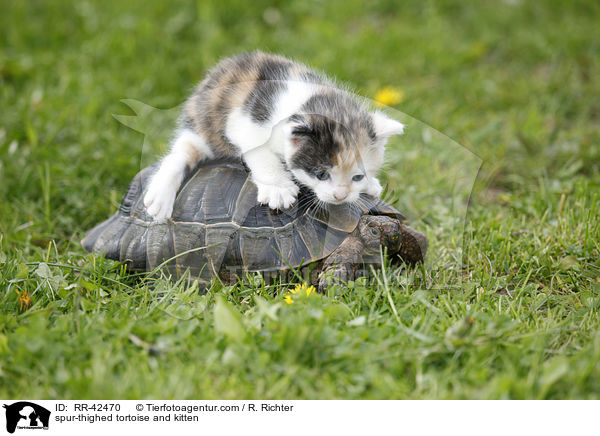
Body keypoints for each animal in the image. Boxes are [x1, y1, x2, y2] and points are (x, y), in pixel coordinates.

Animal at [143, 50, 406, 220]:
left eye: (357, 176)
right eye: (321, 175)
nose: (340, 197)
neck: (313, 100)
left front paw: (369, 185)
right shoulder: (245, 122)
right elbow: (260, 153)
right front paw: (278, 189)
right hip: (203, 125)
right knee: (179, 154)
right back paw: (160, 197)